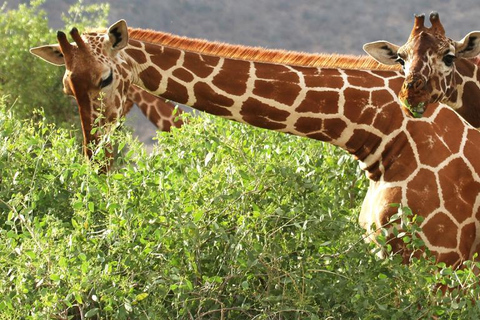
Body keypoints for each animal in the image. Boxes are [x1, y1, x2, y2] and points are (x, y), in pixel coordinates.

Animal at [32, 18, 480, 268]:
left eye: (107, 78)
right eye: (67, 86)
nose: (97, 160)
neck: (382, 133)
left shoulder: (443, 258)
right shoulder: (386, 252)